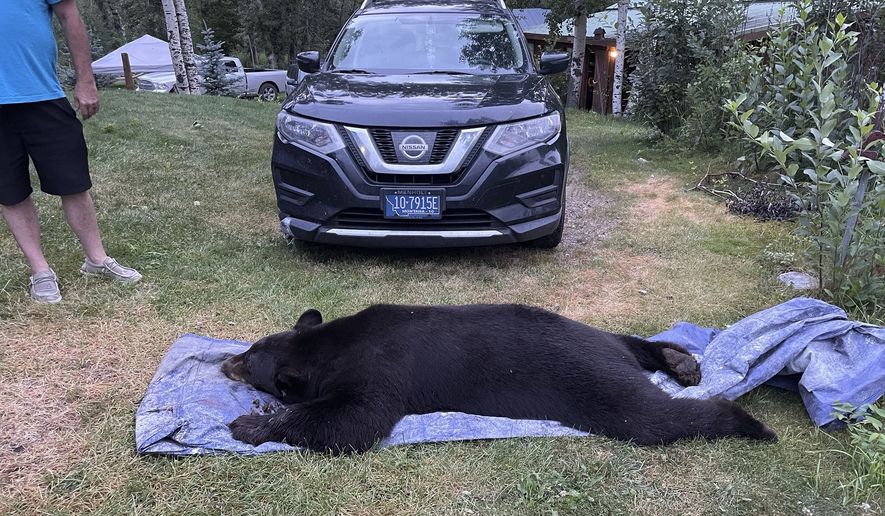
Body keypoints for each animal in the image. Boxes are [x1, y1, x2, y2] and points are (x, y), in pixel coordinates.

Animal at [221, 304, 777, 453]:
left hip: (600, 385)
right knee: (630, 341)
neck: (331, 347)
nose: (225, 360)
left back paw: (748, 422)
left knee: (653, 417)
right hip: (601, 338)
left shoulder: (380, 373)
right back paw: (679, 361)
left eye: (250, 363)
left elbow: (353, 422)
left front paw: (250, 425)